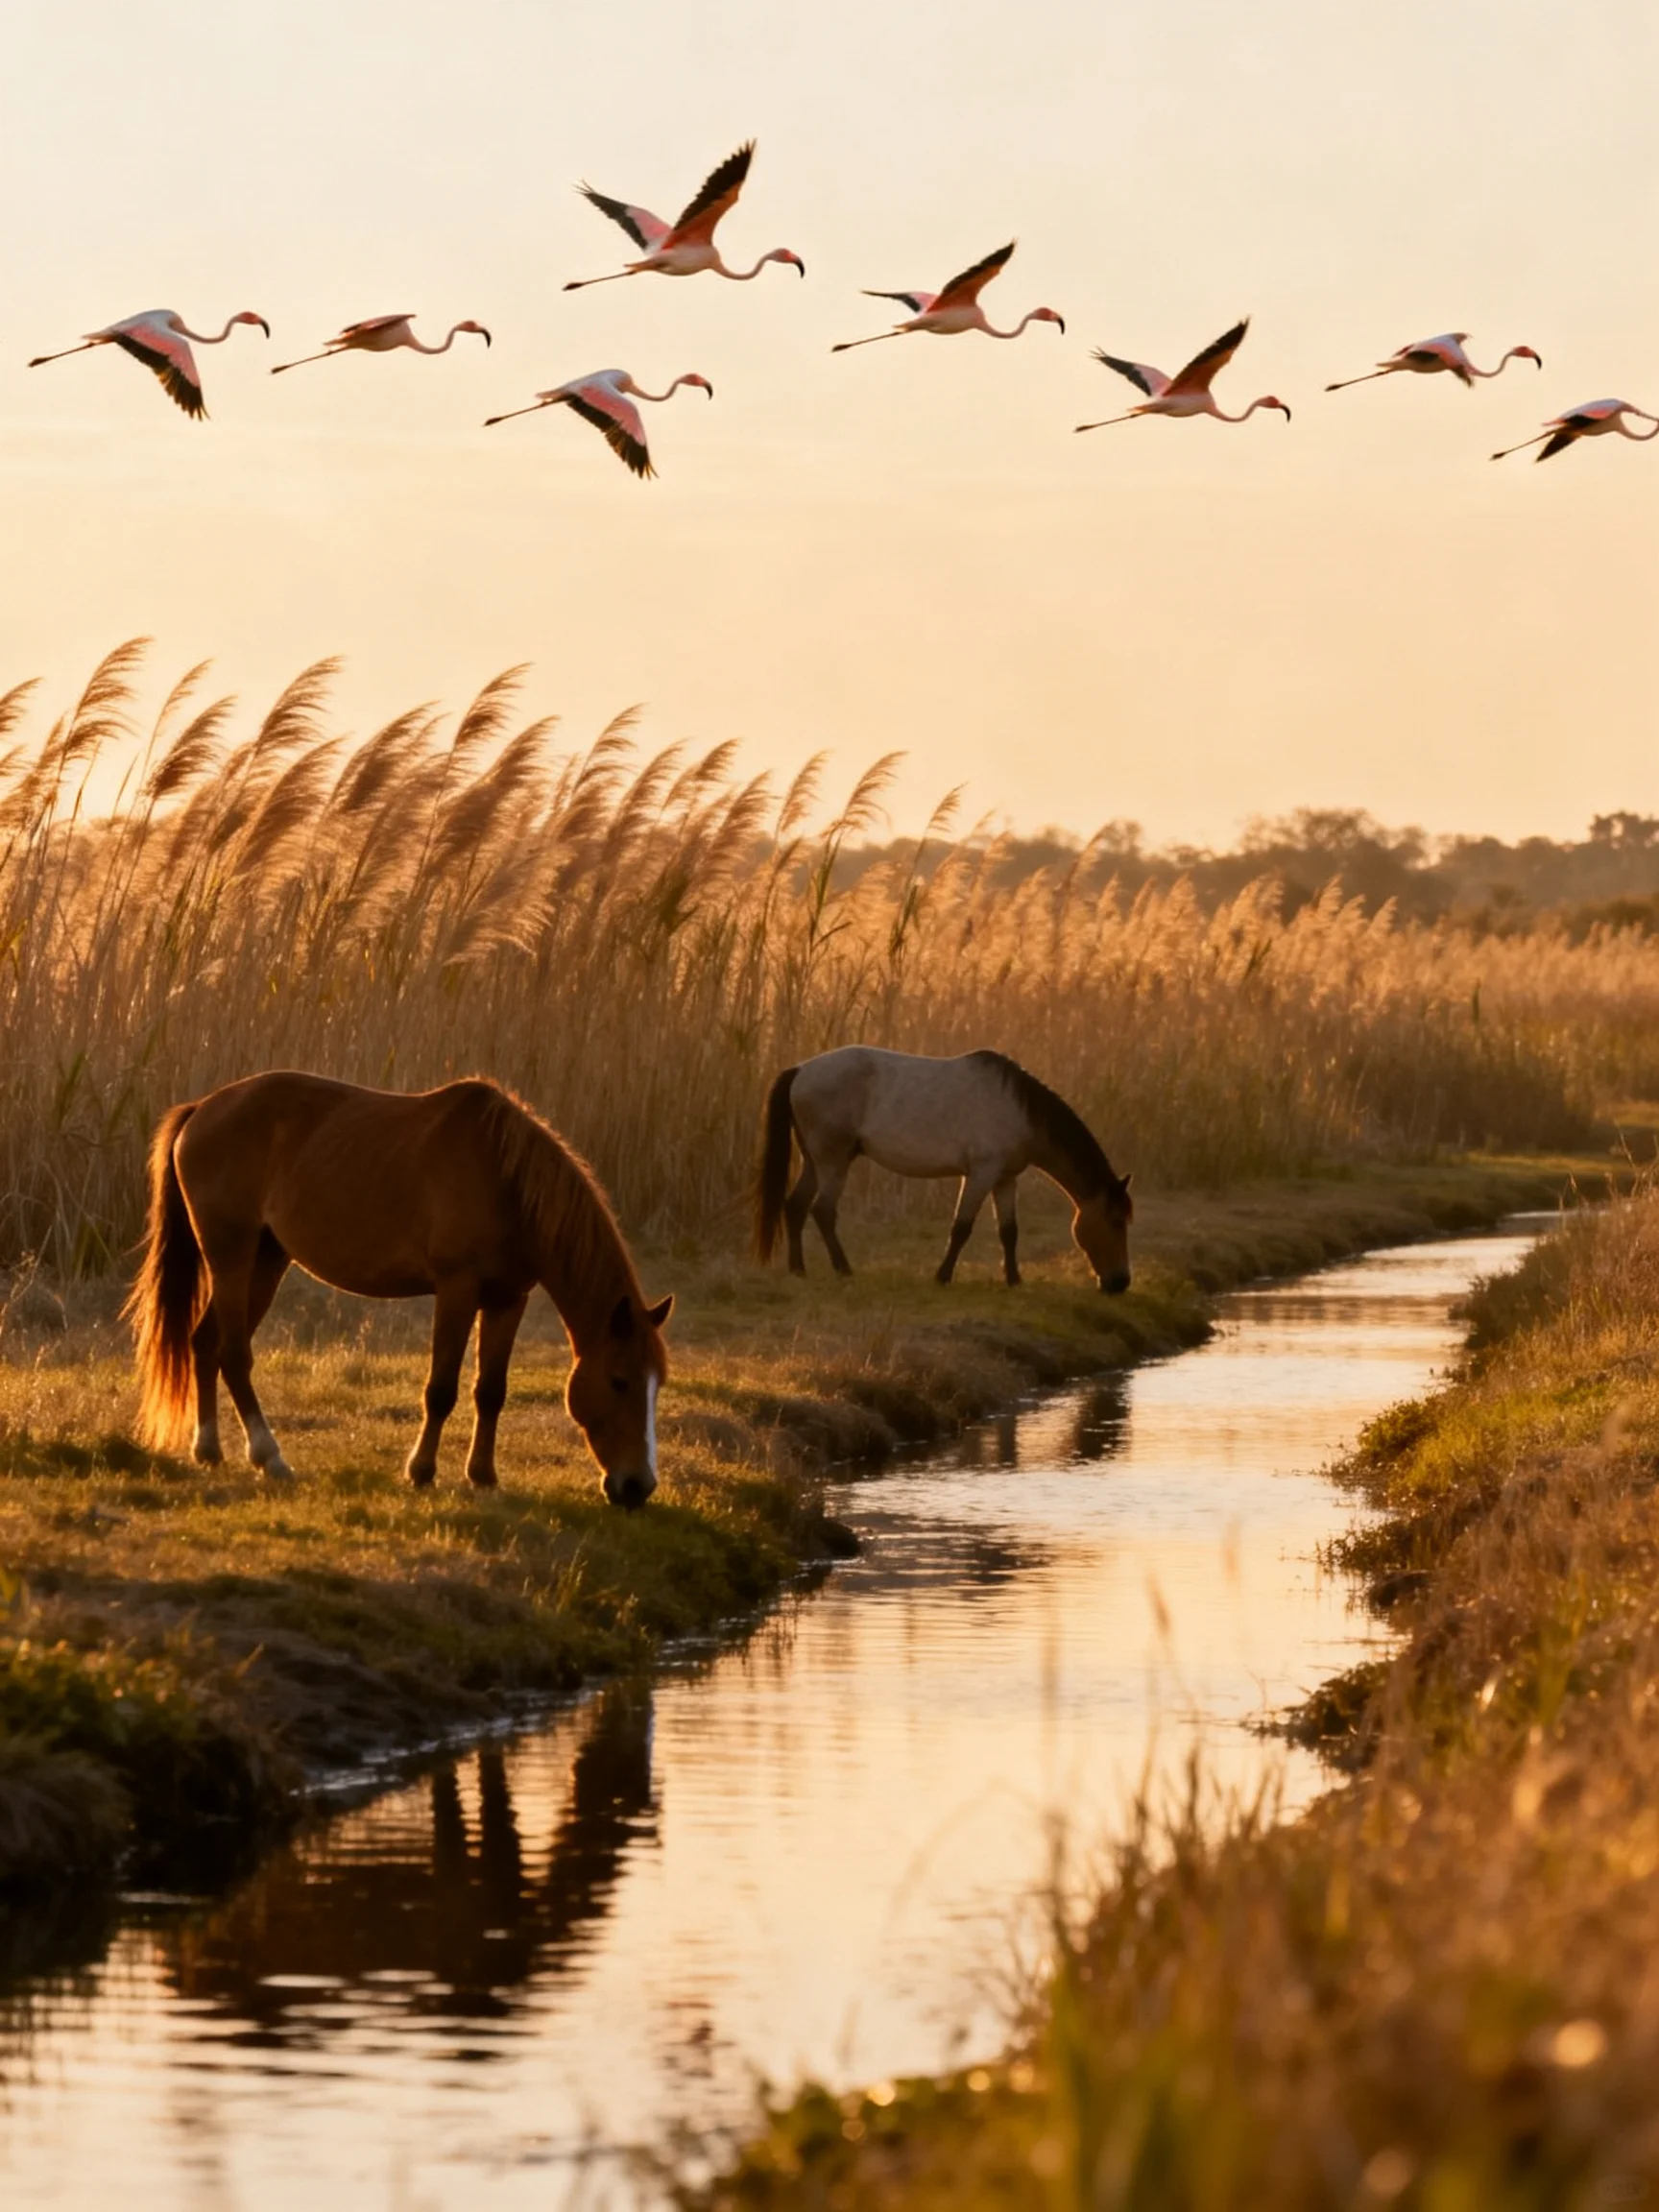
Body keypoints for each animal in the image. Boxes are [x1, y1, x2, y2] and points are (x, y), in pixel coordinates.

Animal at [126, 1072, 673, 1508]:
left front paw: (483, 1475)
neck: (506, 1182)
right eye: (619, 1381)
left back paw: (209, 1449)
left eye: (657, 1385)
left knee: (205, 1343)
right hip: (231, 1257)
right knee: (234, 1355)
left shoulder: (507, 1299)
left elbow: (490, 1390)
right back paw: (270, 1456)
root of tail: (201, 1110)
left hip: (265, 1261)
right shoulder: (457, 1290)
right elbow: (441, 1389)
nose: (637, 1486)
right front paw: (421, 1471)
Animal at [754, 1046, 1133, 1291]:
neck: (1018, 1110)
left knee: (796, 1206)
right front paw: (943, 1276)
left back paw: (798, 1270)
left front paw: (1014, 1279)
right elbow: (961, 1227)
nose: (1120, 1282)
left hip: (815, 1161)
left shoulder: (1006, 1178)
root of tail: (801, 1070)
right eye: (1116, 1221)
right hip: (833, 1161)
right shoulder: (980, 1174)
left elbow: (1009, 1231)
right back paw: (844, 1270)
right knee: (822, 1211)